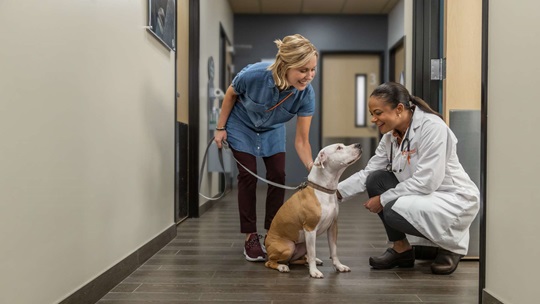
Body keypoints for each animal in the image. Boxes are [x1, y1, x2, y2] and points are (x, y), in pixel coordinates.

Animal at [264, 142, 360, 278]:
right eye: (339, 148)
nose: (358, 144)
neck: (323, 190)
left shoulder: (333, 226)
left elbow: (334, 250)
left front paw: (339, 266)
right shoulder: (310, 229)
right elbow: (313, 252)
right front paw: (314, 272)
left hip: (302, 245)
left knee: (295, 260)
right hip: (288, 246)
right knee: (270, 262)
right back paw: (282, 266)